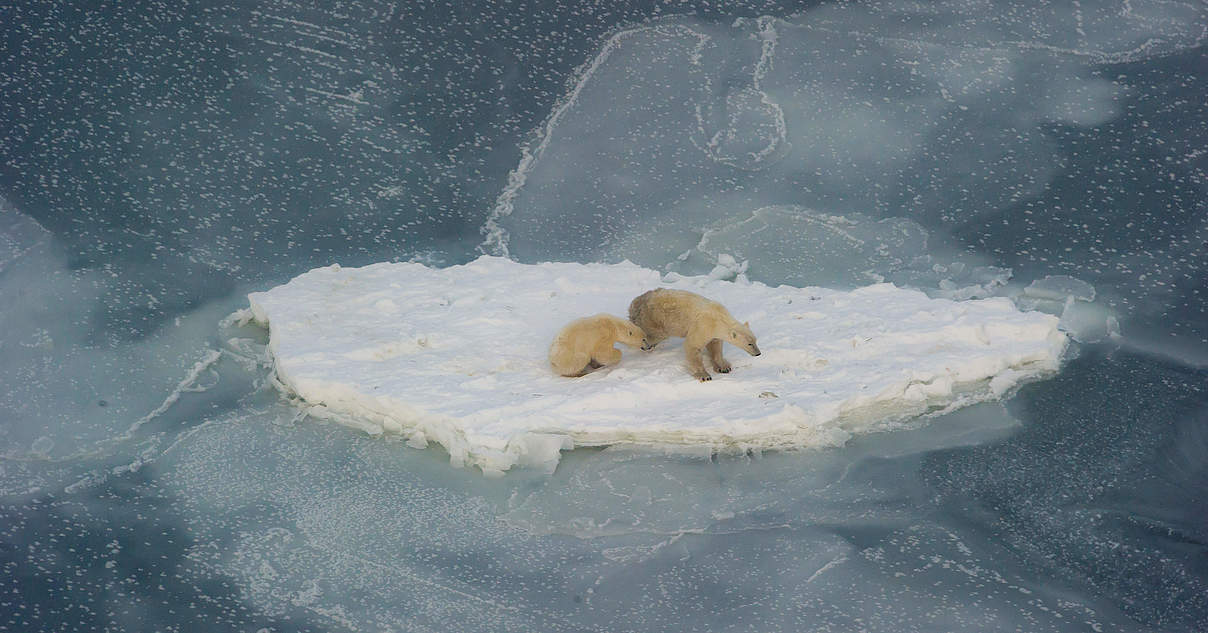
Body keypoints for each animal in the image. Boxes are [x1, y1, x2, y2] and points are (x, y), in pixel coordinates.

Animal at [628, 287, 758, 381]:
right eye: (749, 344)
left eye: (755, 341)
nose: (758, 353)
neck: (719, 317)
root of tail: (637, 302)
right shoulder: (703, 325)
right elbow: (693, 345)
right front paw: (704, 375)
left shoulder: (713, 331)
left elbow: (715, 345)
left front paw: (724, 367)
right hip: (654, 318)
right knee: (655, 334)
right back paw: (646, 344)